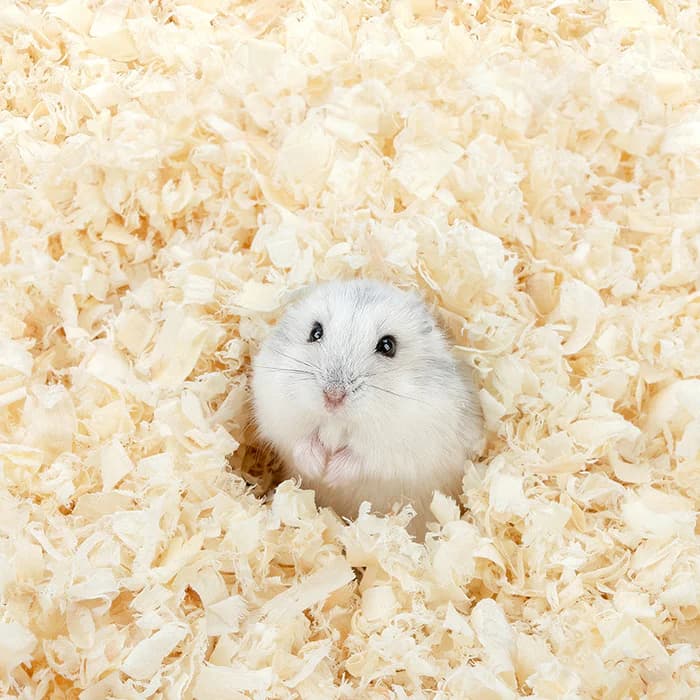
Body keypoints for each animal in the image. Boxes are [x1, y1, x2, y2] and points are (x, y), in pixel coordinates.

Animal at [251, 279, 484, 539]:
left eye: (387, 345)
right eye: (315, 332)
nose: (333, 397)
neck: (337, 421)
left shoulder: (403, 446)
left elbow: (363, 458)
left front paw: (330, 474)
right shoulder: (277, 413)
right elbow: (300, 441)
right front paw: (318, 468)